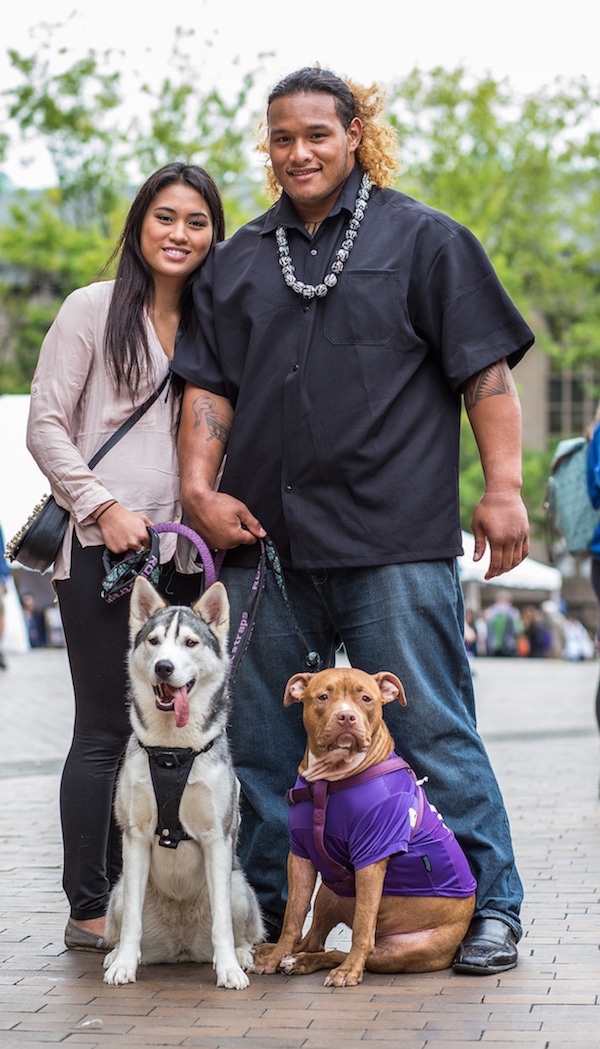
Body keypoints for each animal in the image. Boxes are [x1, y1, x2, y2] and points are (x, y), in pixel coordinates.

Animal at [103, 579, 264, 986]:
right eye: (154, 641)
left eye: (190, 643)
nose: (164, 667)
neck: (172, 751)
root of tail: (182, 947)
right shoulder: (135, 837)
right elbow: (132, 923)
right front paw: (124, 965)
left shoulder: (216, 837)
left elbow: (223, 925)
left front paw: (229, 969)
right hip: (118, 890)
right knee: (125, 922)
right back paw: (117, 956)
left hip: (239, 888)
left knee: (242, 929)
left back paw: (242, 955)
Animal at [250, 667, 476, 986]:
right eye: (323, 696)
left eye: (366, 699)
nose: (346, 717)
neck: (330, 783)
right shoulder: (300, 856)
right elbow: (292, 917)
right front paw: (274, 957)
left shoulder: (371, 858)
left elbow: (362, 925)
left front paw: (349, 971)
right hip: (329, 892)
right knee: (313, 941)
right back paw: (287, 956)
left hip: (399, 951)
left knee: (346, 949)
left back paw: (325, 964)